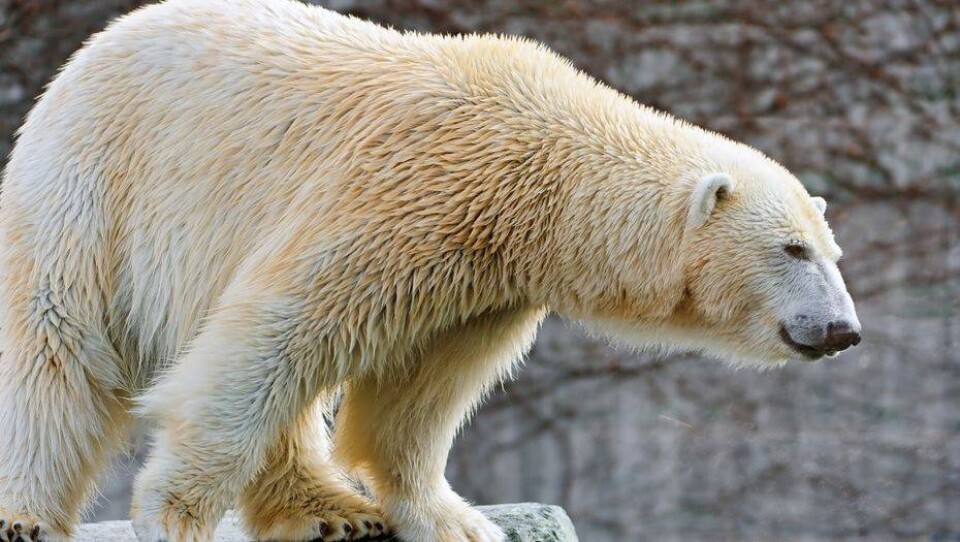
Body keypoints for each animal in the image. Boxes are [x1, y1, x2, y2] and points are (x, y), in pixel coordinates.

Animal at [0, 0, 862, 540]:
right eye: (792, 249)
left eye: (833, 252)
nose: (844, 329)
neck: (540, 159)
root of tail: (85, 55)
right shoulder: (400, 197)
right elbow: (271, 337)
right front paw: (172, 513)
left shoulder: (483, 275)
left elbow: (417, 392)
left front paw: (454, 520)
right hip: (98, 184)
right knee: (57, 342)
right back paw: (28, 514)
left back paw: (330, 509)